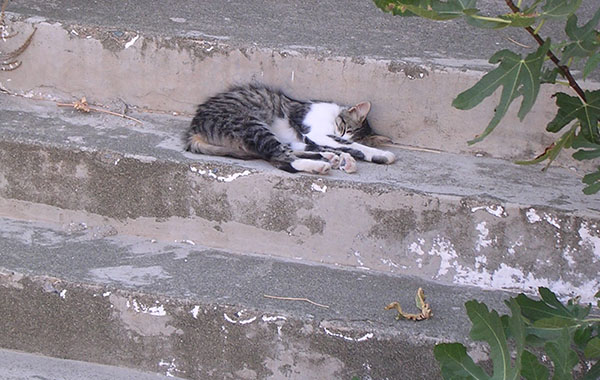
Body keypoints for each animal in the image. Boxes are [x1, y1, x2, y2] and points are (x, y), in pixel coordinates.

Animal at [185, 84, 396, 174]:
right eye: (344, 128)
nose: (339, 132)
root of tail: (194, 127)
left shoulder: (311, 137)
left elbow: (346, 146)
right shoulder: (316, 133)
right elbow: (350, 145)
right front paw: (382, 154)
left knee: (291, 152)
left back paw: (335, 159)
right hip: (251, 125)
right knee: (281, 159)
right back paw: (319, 165)